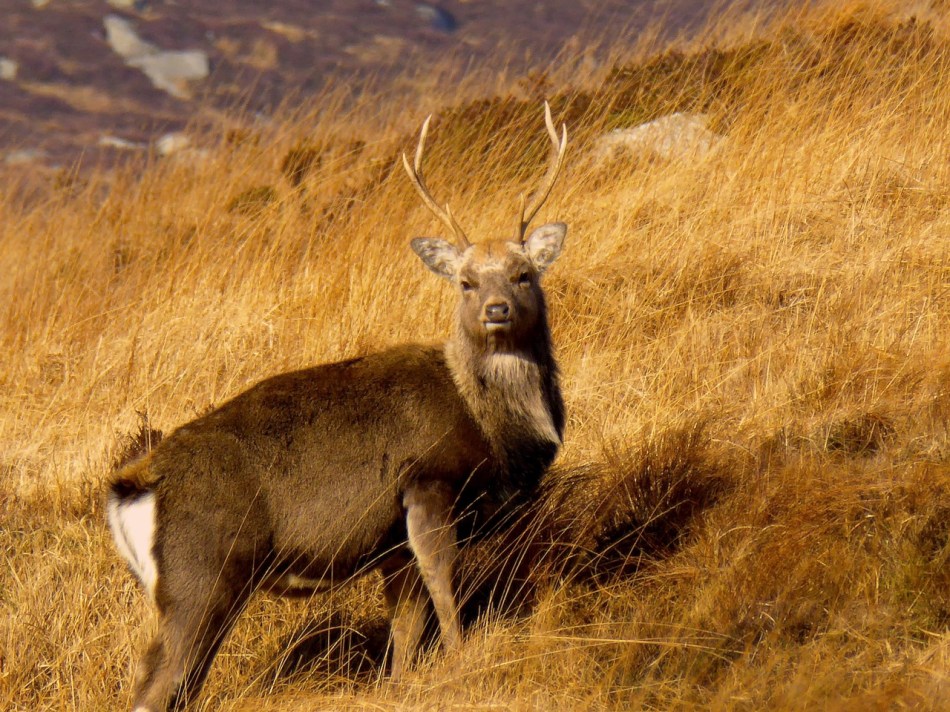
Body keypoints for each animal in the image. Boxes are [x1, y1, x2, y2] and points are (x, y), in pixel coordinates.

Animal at [106, 102, 569, 711]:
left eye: (524, 273)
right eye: (466, 281)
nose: (497, 309)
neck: (486, 424)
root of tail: (135, 484)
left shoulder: (393, 545)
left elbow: (405, 630)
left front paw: (402, 684)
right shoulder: (428, 481)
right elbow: (444, 590)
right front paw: (463, 663)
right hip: (200, 573)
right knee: (153, 685)